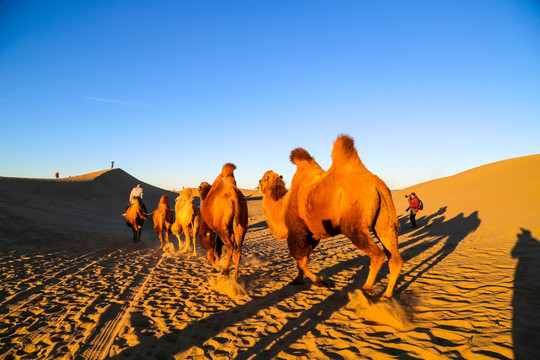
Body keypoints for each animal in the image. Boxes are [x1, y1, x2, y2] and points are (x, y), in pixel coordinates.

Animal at [260, 134, 402, 298]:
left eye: (264, 179)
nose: (258, 183)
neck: (283, 204)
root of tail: (377, 184)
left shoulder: (298, 232)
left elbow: (300, 260)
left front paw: (321, 282)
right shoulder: (312, 235)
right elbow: (302, 261)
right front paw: (298, 280)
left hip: (353, 227)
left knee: (378, 255)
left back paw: (366, 289)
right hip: (383, 220)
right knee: (395, 257)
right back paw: (387, 295)